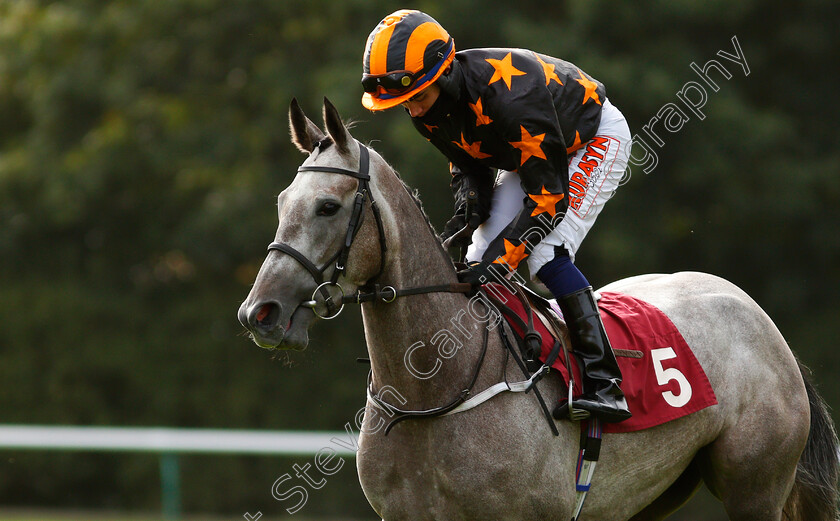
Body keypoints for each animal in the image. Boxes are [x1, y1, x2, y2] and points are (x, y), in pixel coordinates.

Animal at [240, 98, 836, 520]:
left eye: (327, 206)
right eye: (281, 203)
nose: (260, 312)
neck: (436, 386)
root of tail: (758, 316)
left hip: (755, 488)